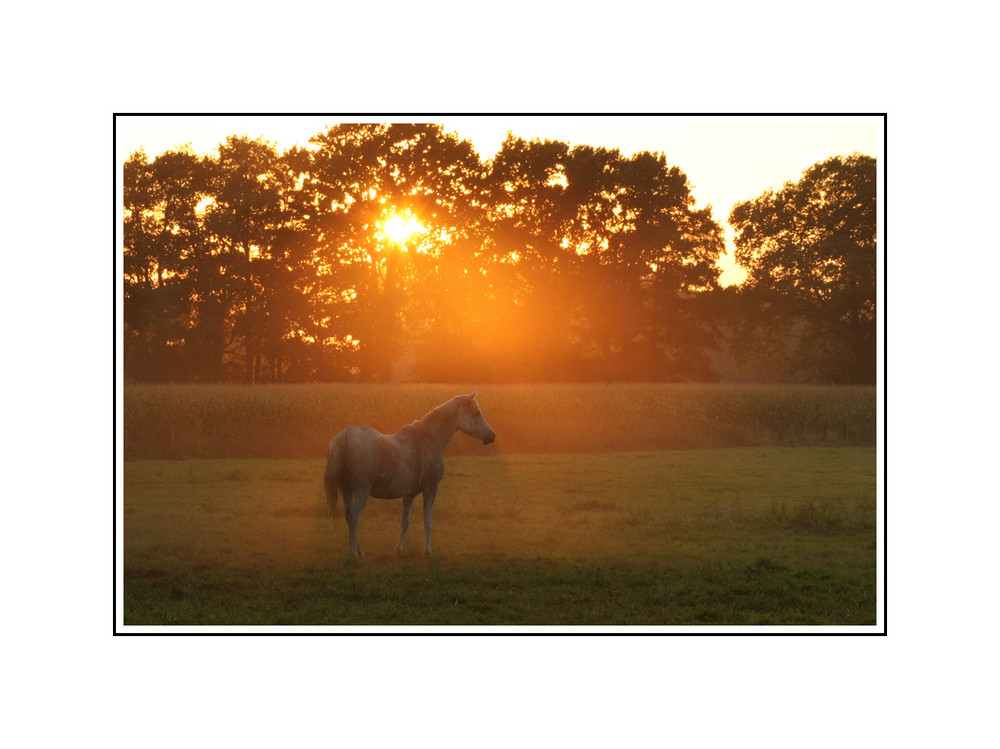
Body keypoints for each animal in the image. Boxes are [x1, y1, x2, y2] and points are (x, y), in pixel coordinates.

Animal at [324, 392, 496, 556]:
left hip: (346, 489)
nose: (491, 436)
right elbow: (428, 522)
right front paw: (428, 550)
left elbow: (404, 523)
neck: (428, 439)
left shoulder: (409, 494)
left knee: (348, 517)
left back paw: (360, 552)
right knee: (354, 518)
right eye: (476, 412)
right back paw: (353, 553)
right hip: (361, 491)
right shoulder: (430, 489)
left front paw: (398, 550)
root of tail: (344, 437)